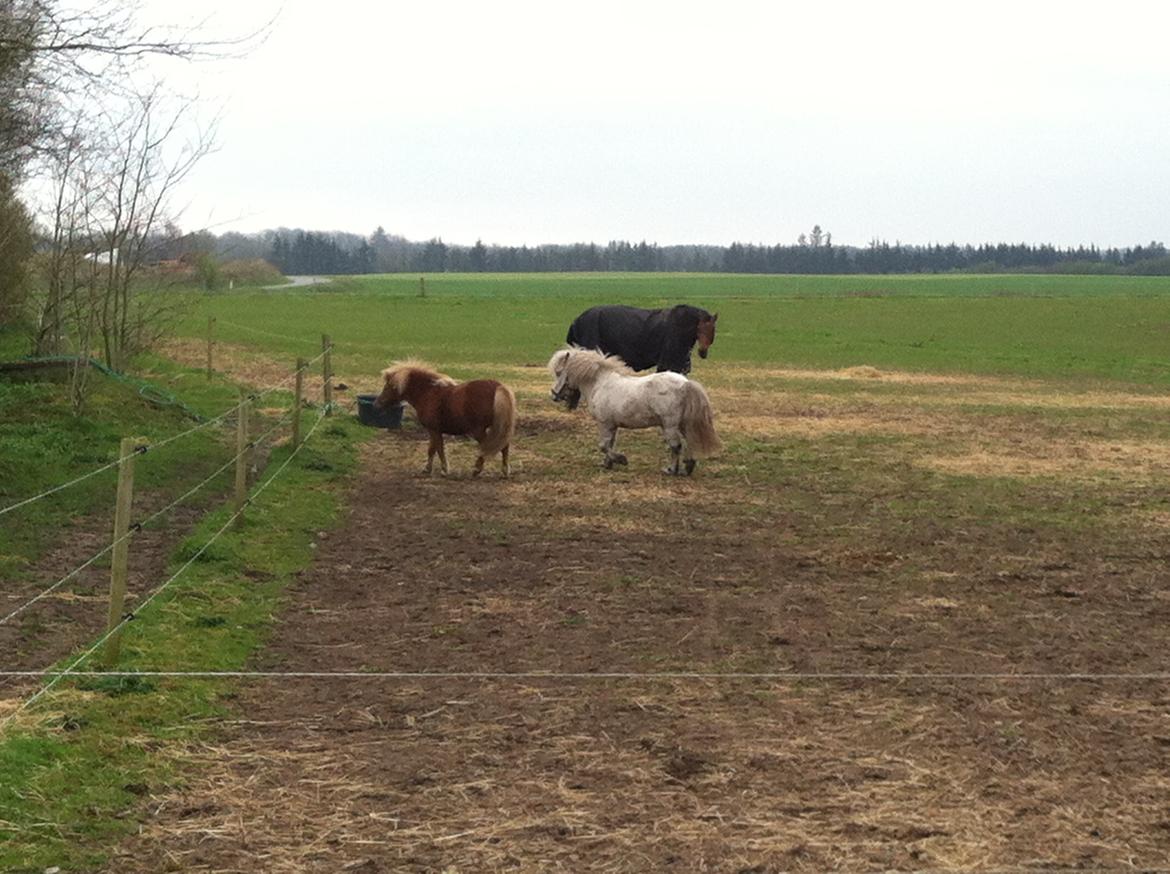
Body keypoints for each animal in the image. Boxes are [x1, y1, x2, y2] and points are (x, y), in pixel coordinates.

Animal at [374, 360, 517, 479]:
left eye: (390, 386)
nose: (377, 404)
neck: (428, 393)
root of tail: (498, 387)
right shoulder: (434, 431)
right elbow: (432, 450)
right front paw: (427, 469)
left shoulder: (434, 430)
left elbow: (438, 449)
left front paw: (444, 470)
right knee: (504, 446)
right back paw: (504, 472)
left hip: (478, 431)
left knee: (488, 446)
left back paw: (477, 470)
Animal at [549, 346, 720, 475]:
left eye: (559, 372)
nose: (554, 396)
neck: (600, 383)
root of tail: (685, 384)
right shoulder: (612, 425)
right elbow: (610, 444)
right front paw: (607, 464)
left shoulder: (605, 424)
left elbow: (603, 445)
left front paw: (621, 460)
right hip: (682, 424)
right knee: (689, 441)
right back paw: (688, 467)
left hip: (669, 426)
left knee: (676, 446)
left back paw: (671, 470)